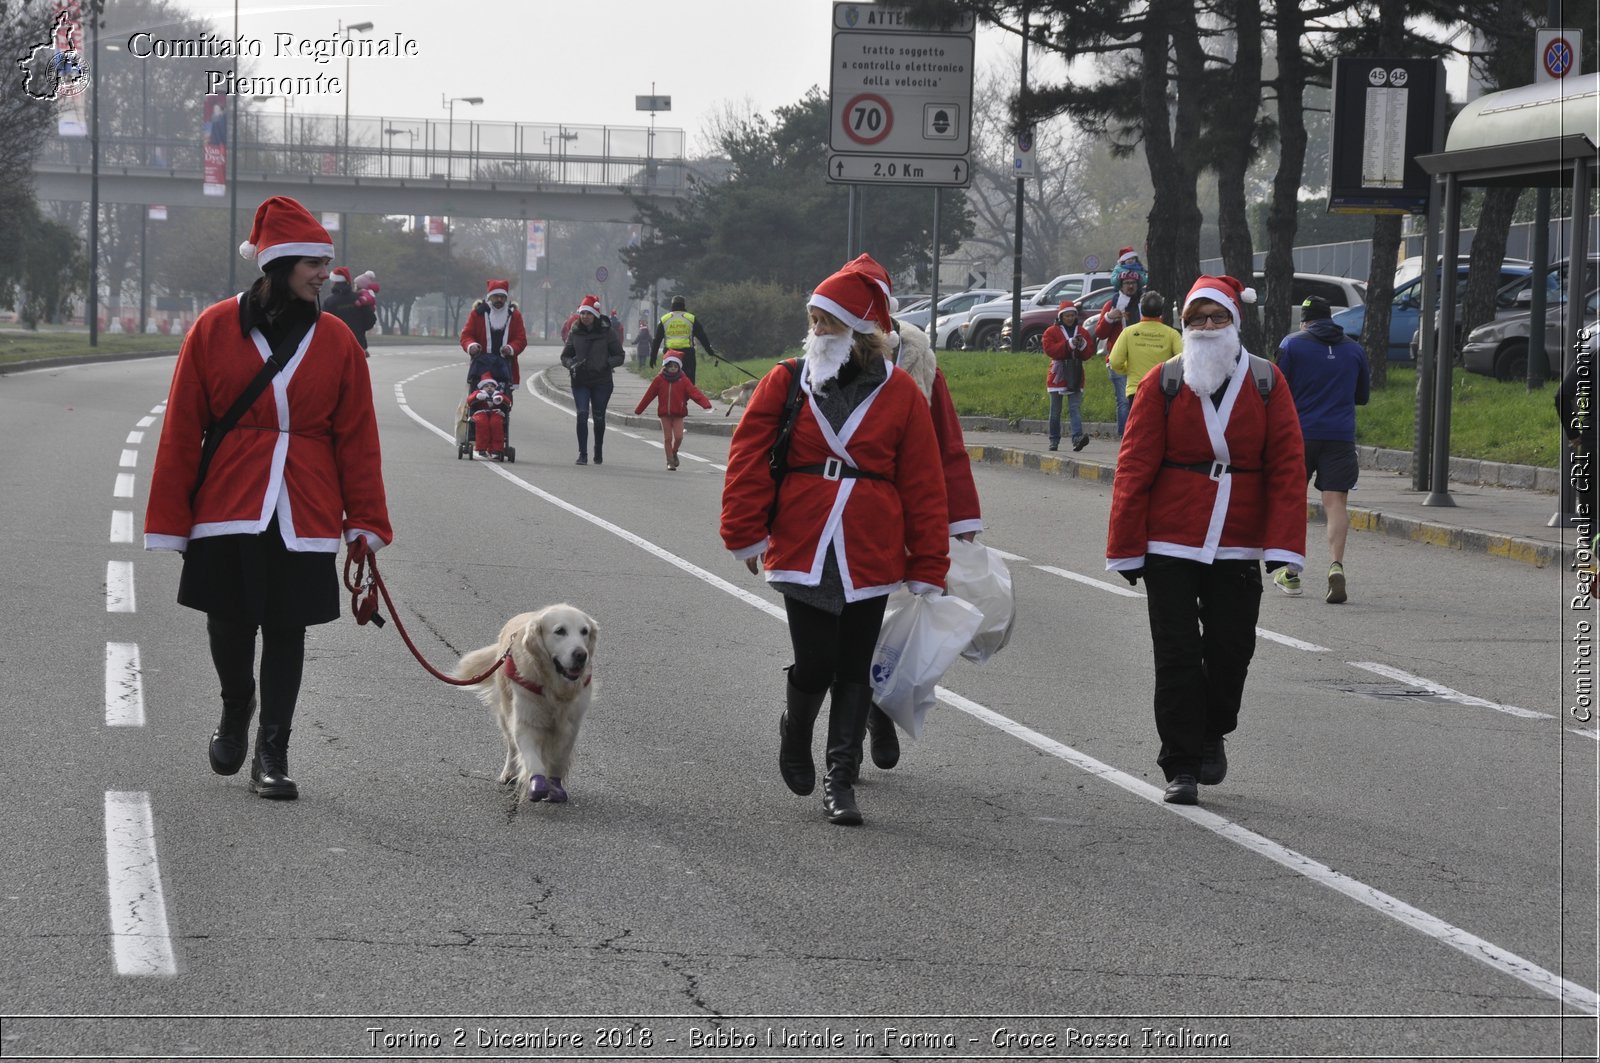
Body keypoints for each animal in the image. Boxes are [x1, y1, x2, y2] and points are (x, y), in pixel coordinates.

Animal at [457, 601, 601, 800]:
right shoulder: (526, 720)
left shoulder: (570, 725)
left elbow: (559, 758)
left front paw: (555, 786)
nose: (581, 655)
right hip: (505, 711)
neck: (553, 686)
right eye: (560, 631)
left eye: (584, 631)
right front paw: (537, 783)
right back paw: (509, 773)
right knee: (511, 744)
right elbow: (532, 758)